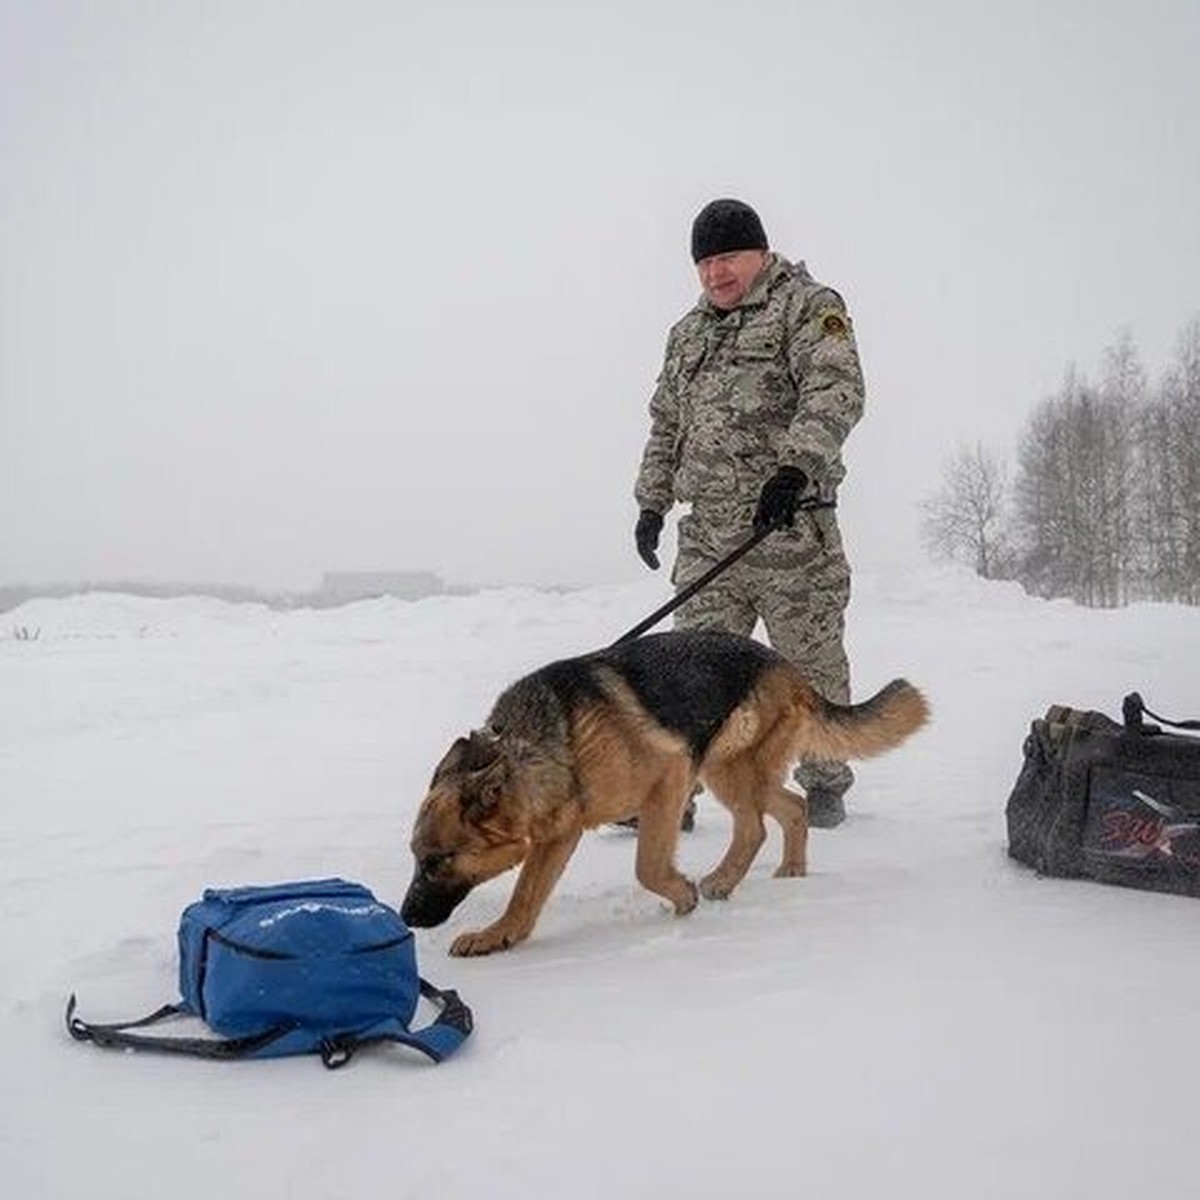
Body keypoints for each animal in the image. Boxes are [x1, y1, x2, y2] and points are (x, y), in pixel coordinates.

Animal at [403, 628, 926, 955]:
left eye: (437, 860)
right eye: (417, 859)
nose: (406, 916)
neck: (546, 744)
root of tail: (787, 666)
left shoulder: (669, 778)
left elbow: (648, 865)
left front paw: (682, 897)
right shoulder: (557, 836)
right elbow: (526, 895)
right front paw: (501, 936)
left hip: (724, 766)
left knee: (755, 826)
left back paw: (721, 882)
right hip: (731, 770)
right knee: (790, 807)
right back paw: (789, 871)